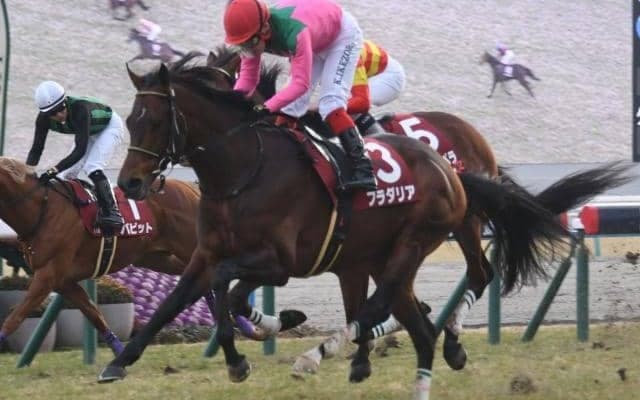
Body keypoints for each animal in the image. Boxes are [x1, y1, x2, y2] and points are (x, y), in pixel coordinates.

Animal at [0, 158, 304, 355]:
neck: (43, 209)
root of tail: (191, 189)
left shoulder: (48, 275)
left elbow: (16, 316)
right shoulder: (63, 280)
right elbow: (94, 314)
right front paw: (120, 355)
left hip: (191, 249)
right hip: (158, 258)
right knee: (201, 283)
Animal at [96, 55, 627, 399]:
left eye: (156, 120)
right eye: (130, 119)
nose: (131, 183)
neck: (245, 169)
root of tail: (452, 165)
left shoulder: (279, 262)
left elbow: (229, 291)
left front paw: (245, 352)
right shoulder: (207, 253)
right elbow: (175, 301)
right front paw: (119, 362)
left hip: (442, 231)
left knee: (440, 284)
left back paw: (338, 352)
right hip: (377, 252)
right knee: (393, 304)